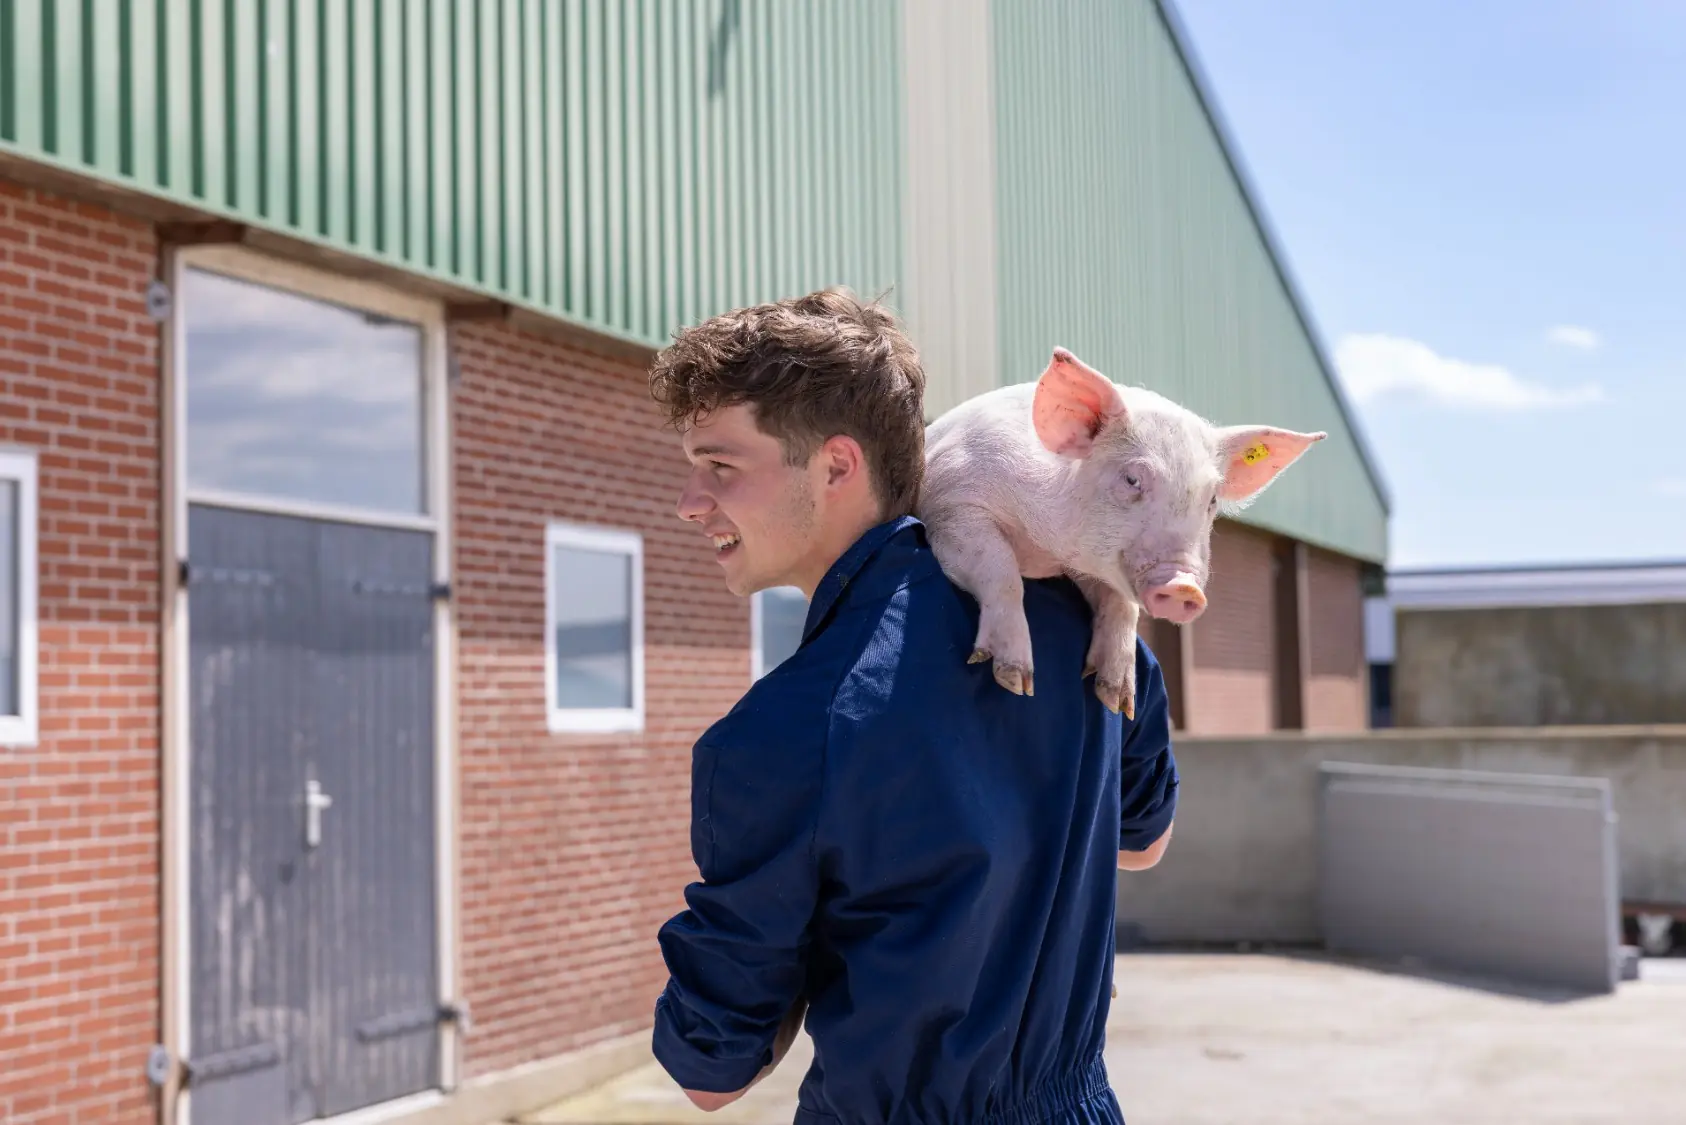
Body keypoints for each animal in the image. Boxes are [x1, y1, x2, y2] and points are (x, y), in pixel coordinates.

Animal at [916, 346, 1325, 718]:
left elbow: (1122, 604)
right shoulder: (951, 503)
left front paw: (1117, 700)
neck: (1043, 553)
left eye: (1211, 499)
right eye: (1132, 479)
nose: (1183, 586)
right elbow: (1002, 573)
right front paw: (1016, 681)